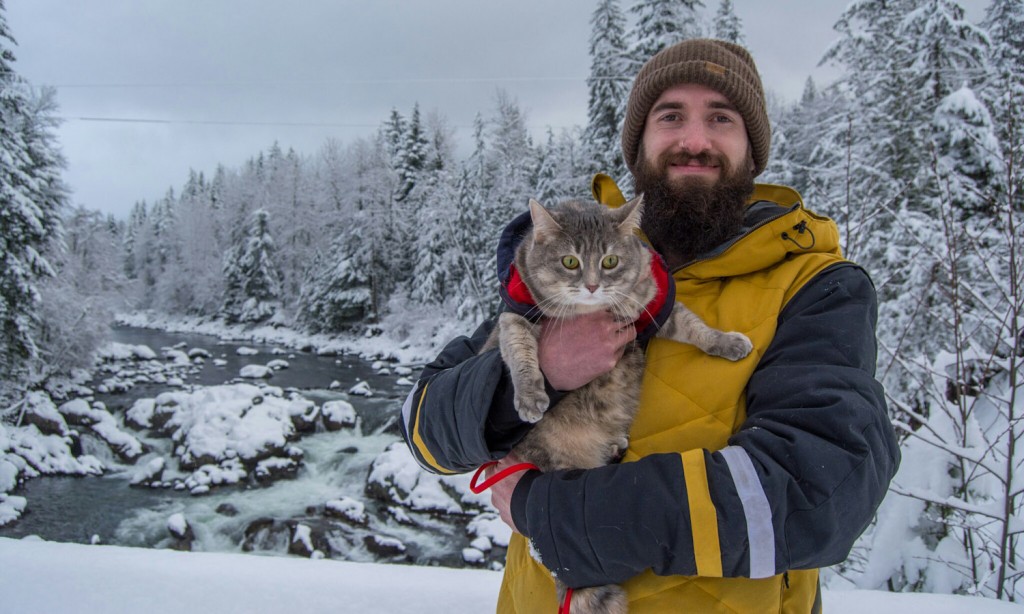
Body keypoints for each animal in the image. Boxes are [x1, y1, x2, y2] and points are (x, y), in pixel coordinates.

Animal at [479, 196, 753, 614]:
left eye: (610, 262)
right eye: (570, 262)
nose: (592, 286)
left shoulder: (651, 301)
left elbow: (693, 325)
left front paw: (725, 342)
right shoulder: (516, 317)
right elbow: (521, 353)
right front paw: (530, 396)